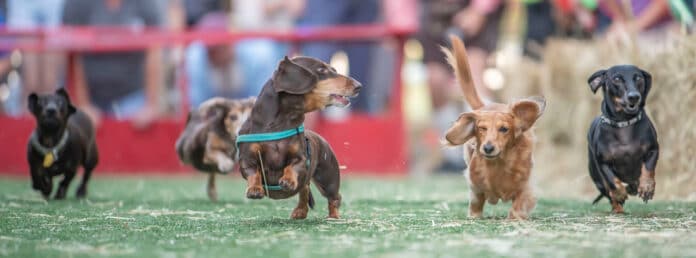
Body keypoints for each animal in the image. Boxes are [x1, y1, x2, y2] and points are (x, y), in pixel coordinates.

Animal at [588, 65, 656, 214]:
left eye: (639, 78)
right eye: (617, 79)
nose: (634, 97)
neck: (624, 123)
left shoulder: (653, 150)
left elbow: (648, 168)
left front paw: (647, 187)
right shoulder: (602, 162)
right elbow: (612, 180)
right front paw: (619, 194)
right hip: (597, 179)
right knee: (608, 192)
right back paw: (617, 207)